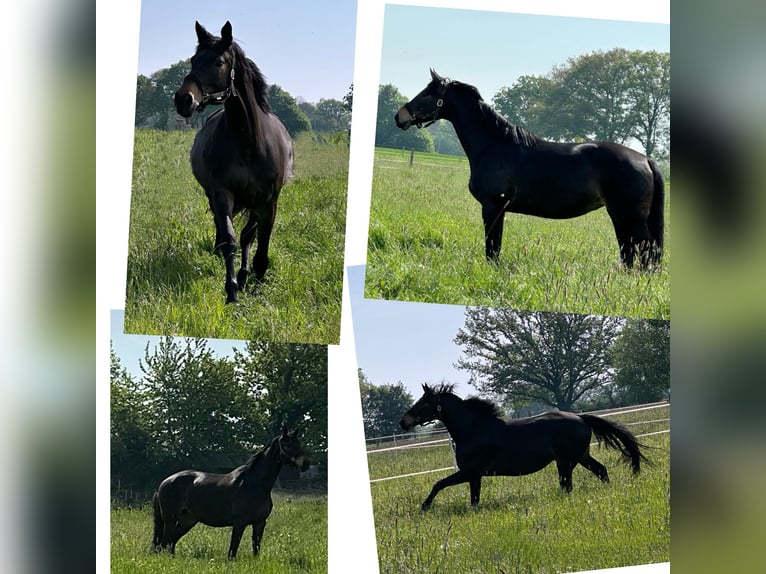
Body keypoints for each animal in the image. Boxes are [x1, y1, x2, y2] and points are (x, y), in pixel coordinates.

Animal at [152, 430, 310, 560]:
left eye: (299, 443)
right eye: (287, 444)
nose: (306, 463)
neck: (255, 484)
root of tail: (164, 482)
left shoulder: (260, 523)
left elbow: (256, 548)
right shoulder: (239, 523)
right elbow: (233, 551)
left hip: (188, 520)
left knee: (171, 542)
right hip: (170, 519)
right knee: (164, 542)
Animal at [175, 20, 294, 304]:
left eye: (219, 62)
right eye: (194, 60)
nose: (183, 99)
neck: (249, 141)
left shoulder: (268, 202)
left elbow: (260, 242)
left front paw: (256, 283)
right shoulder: (222, 194)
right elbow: (230, 240)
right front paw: (231, 291)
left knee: (249, 235)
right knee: (226, 232)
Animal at [396, 69, 664, 270]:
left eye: (427, 94)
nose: (400, 116)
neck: (494, 144)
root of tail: (646, 159)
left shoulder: (492, 207)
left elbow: (492, 247)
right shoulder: (498, 209)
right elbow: (495, 246)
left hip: (632, 219)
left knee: (647, 251)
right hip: (619, 216)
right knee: (630, 253)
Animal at [402, 388, 648, 512]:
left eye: (425, 402)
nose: (403, 422)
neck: (473, 429)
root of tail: (580, 417)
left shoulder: (471, 472)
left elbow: (440, 485)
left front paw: (424, 507)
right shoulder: (473, 475)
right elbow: (470, 498)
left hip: (566, 461)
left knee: (568, 485)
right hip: (580, 457)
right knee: (600, 471)